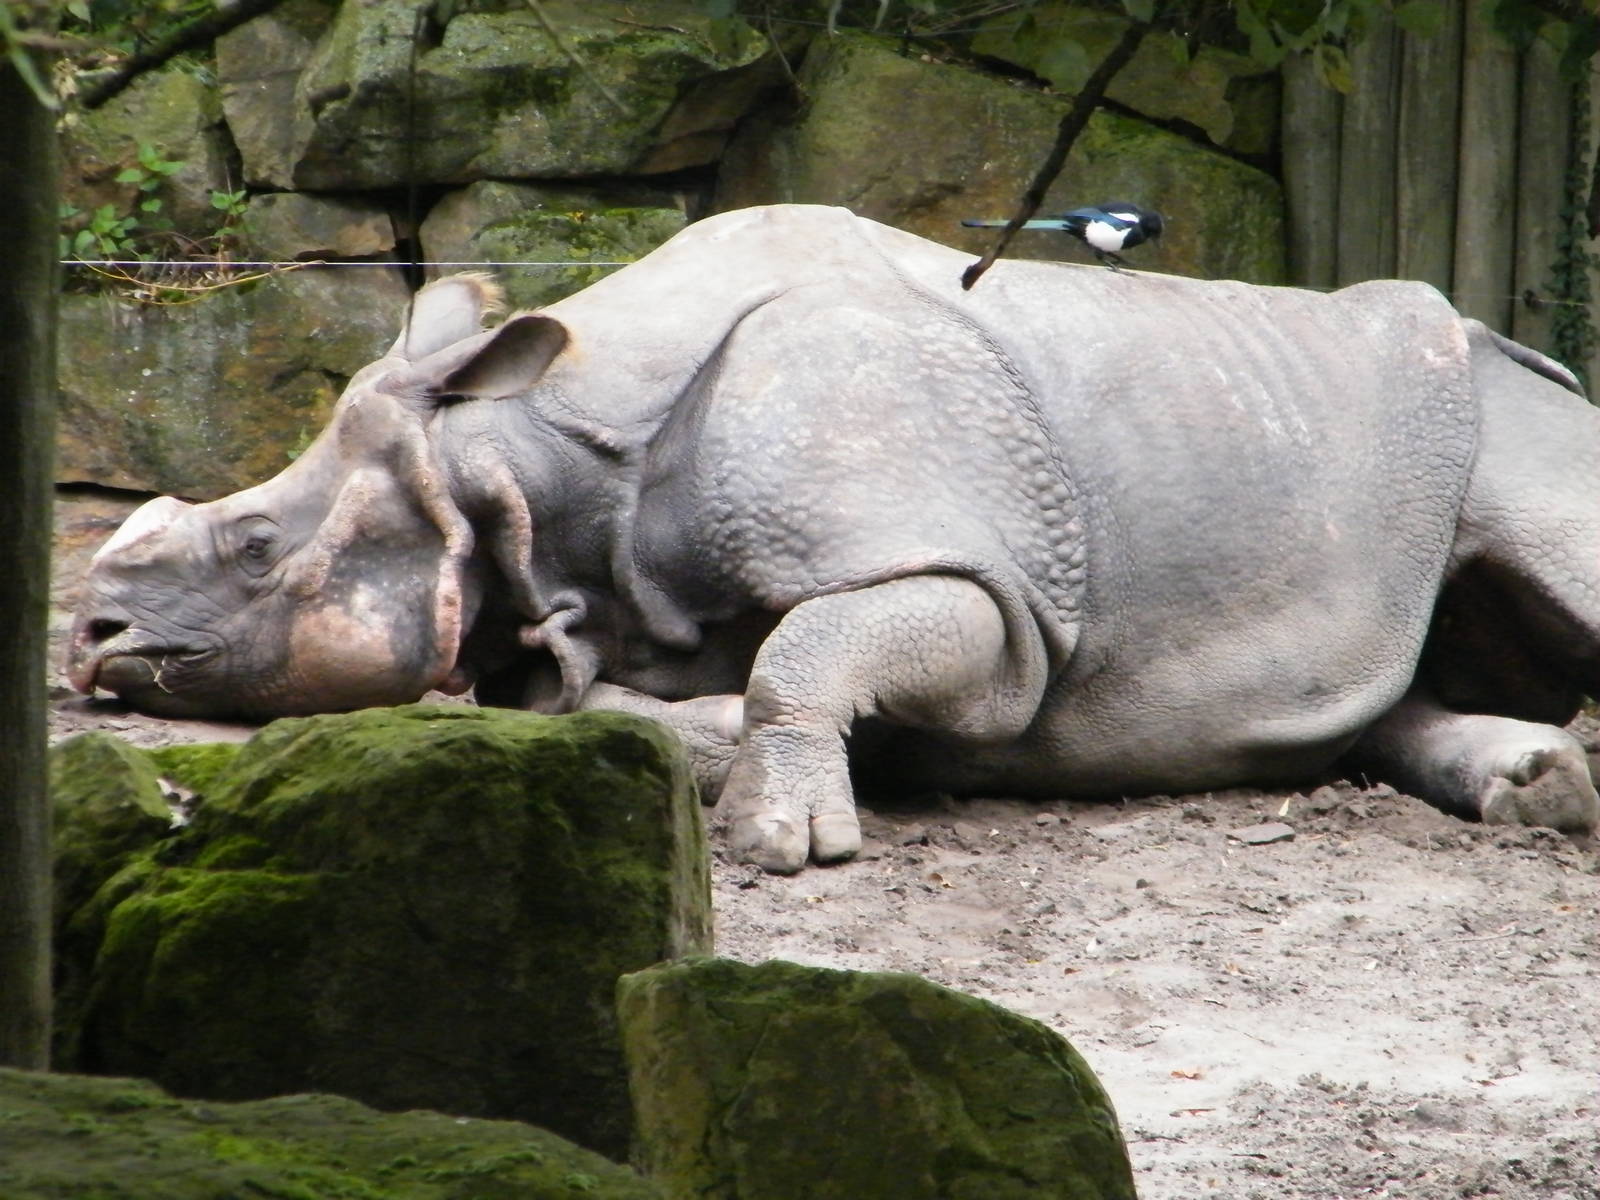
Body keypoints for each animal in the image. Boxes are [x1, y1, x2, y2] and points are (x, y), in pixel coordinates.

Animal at [68, 204, 1600, 871]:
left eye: (254, 548)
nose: (90, 640)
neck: (530, 455)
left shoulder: (987, 589)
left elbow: (810, 645)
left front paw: (777, 840)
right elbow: (618, 703)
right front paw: (703, 749)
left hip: (1519, 417)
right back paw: (1541, 789)